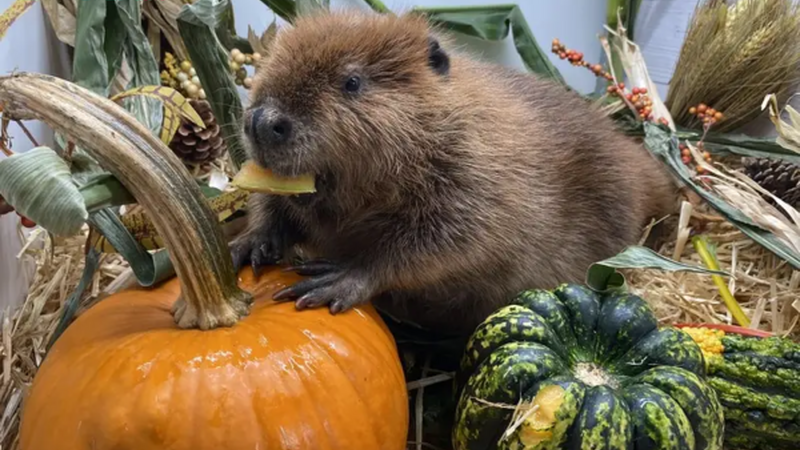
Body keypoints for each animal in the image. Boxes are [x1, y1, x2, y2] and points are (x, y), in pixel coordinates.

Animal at [228, 10, 680, 336]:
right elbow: (270, 202)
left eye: (352, 81)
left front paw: (334, 279)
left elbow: (444, 243)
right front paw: (244, 245)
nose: (263, 121)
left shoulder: (480, 179)